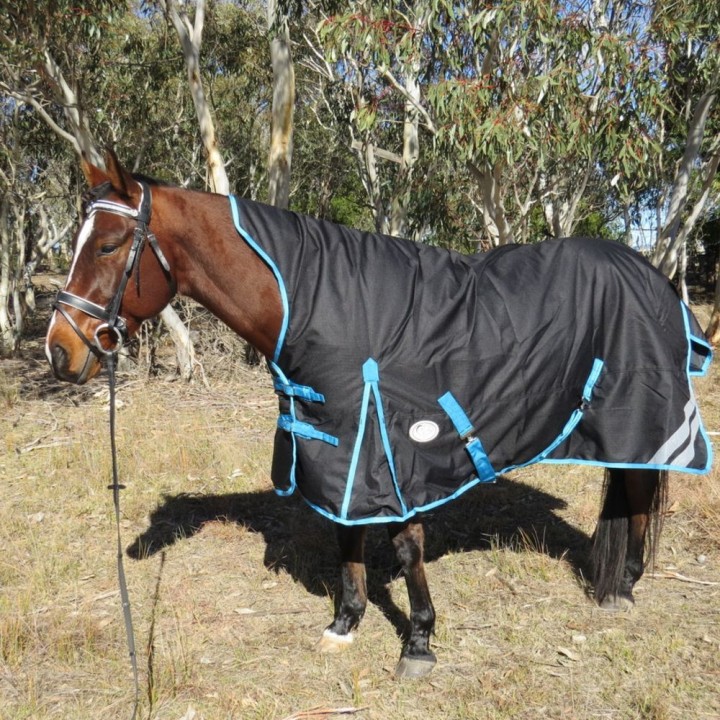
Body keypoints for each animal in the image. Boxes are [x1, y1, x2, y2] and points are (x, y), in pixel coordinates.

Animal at [46, 150, 713, 679]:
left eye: (107, 245)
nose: (60, 351)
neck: (314, 302)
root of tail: (651, 271)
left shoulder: (394, 445)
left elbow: (408, 545)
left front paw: (418, 642)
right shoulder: (340, 444)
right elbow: (346, 533)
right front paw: (345, 622)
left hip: (638, 416)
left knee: (639, 488)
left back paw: (623, 587)